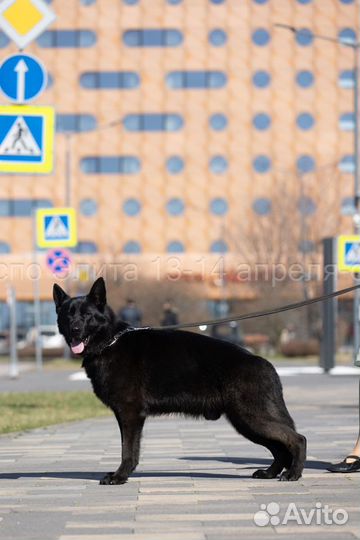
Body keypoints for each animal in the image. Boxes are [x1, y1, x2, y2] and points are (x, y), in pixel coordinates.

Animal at [54, 278, 306, 486]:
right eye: (68, 315)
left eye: (87, 315)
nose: (75, 329)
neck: (110, 342)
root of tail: (266, 364)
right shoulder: (128, 416)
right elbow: (131, 450)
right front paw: (124, 474)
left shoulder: (130, 414)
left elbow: (128, 450)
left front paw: (120, 476)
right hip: (245, 422)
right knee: (280, 448)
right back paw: (270, 472)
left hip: (251, 418)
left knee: (297, 439)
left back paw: (293, 473)